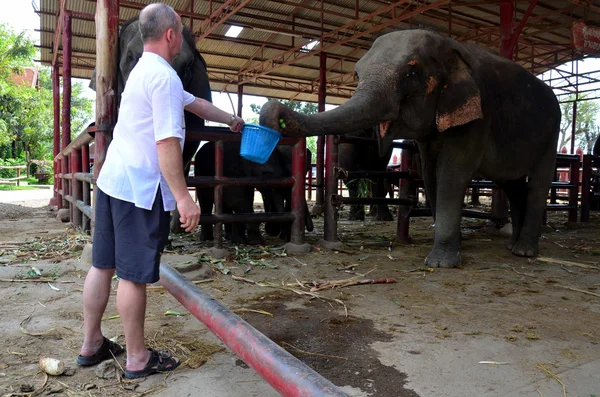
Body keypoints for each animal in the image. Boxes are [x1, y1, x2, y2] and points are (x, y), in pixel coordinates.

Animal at [258, 29, 564, 268]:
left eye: (412, 72)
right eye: (356, 74)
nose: (274, 113)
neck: (451, 46)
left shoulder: (478, 114)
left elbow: (451, 173)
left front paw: (441, 263)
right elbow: (430, 174)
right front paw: (456, 247)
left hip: (551, 132)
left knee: (537, 182)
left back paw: (524, 251)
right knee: (513, 183)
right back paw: (512, 245)